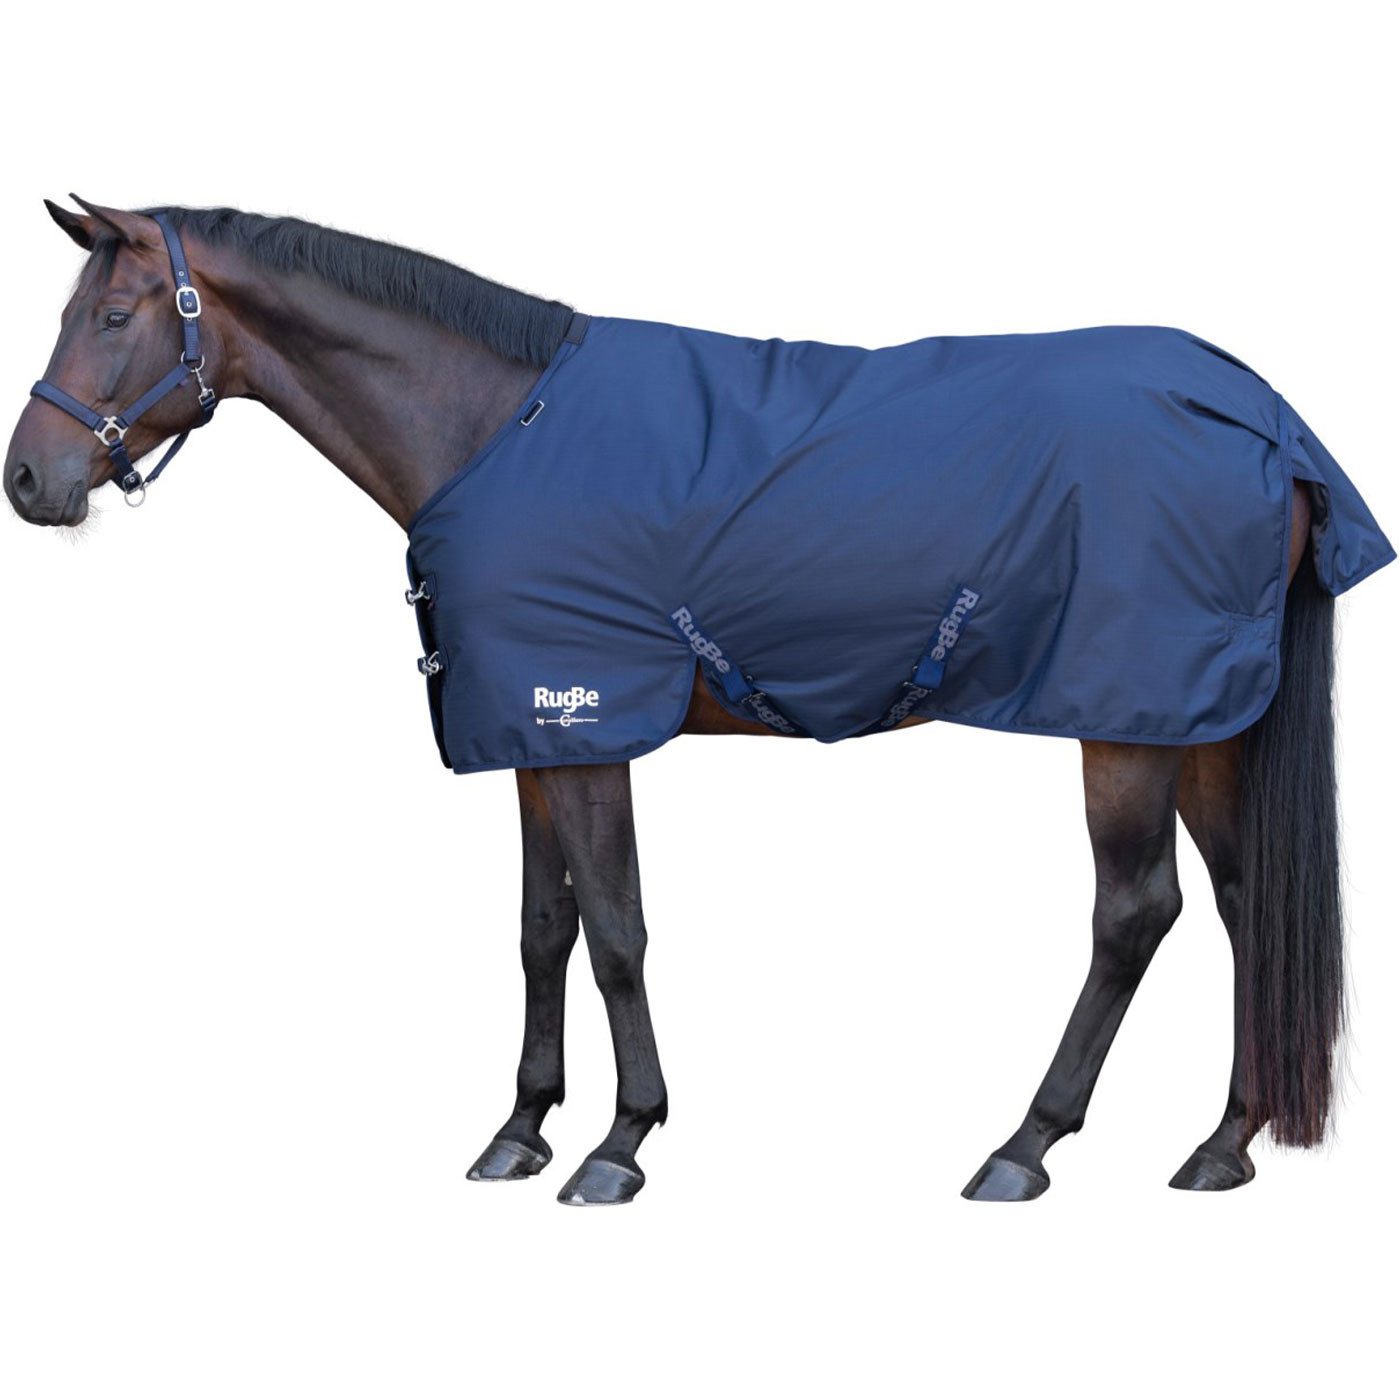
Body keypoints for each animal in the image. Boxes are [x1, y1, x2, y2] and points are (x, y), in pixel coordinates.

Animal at [5, 196, 1387, 1205]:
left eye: (116, 312)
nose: (30, 478)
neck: (497, 425)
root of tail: (1265, 417)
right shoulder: (529, 730)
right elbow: (541, 928)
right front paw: (519, 1128)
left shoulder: (585, 722)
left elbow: (616, 929)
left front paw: (619, 1143)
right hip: (1198, 723)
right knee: (1247, 905)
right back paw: (1223, 1140)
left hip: (1124, 723)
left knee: (1133, 913)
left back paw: (1022, 1145)